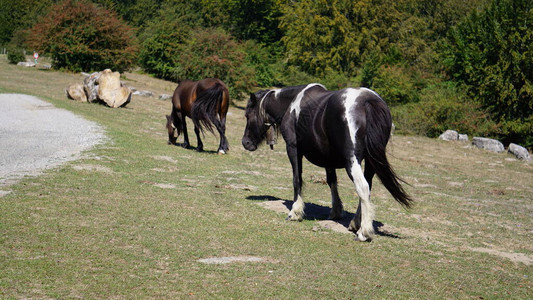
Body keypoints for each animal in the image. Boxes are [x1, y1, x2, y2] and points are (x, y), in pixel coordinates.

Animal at [241, 83, 412, 240]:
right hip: (371, 162)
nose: (245, 143)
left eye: (248, 115)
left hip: (352, 161)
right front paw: (336, 212)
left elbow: (297, 179)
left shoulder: (293, 149)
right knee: (367, 187)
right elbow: (332, 182)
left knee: (362, 187)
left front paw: (295, 212)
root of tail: (368, 101)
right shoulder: (328, 160)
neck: (292, 104)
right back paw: (356, 223)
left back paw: (363, 232)